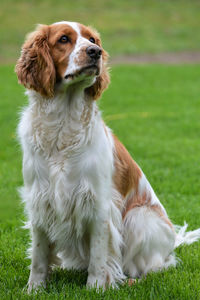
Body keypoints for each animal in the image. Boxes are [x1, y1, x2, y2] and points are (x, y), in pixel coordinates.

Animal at [15, 22, 200, 292]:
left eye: (92, 39)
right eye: (63, 39)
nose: (95, 52)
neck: (63, 125)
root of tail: (174, 239)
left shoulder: (98, 203)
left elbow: (99, 256)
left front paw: (96, 288)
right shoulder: (40, 199)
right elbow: (39, 256)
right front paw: (34, 289)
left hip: (138, 217)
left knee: (158, 266)